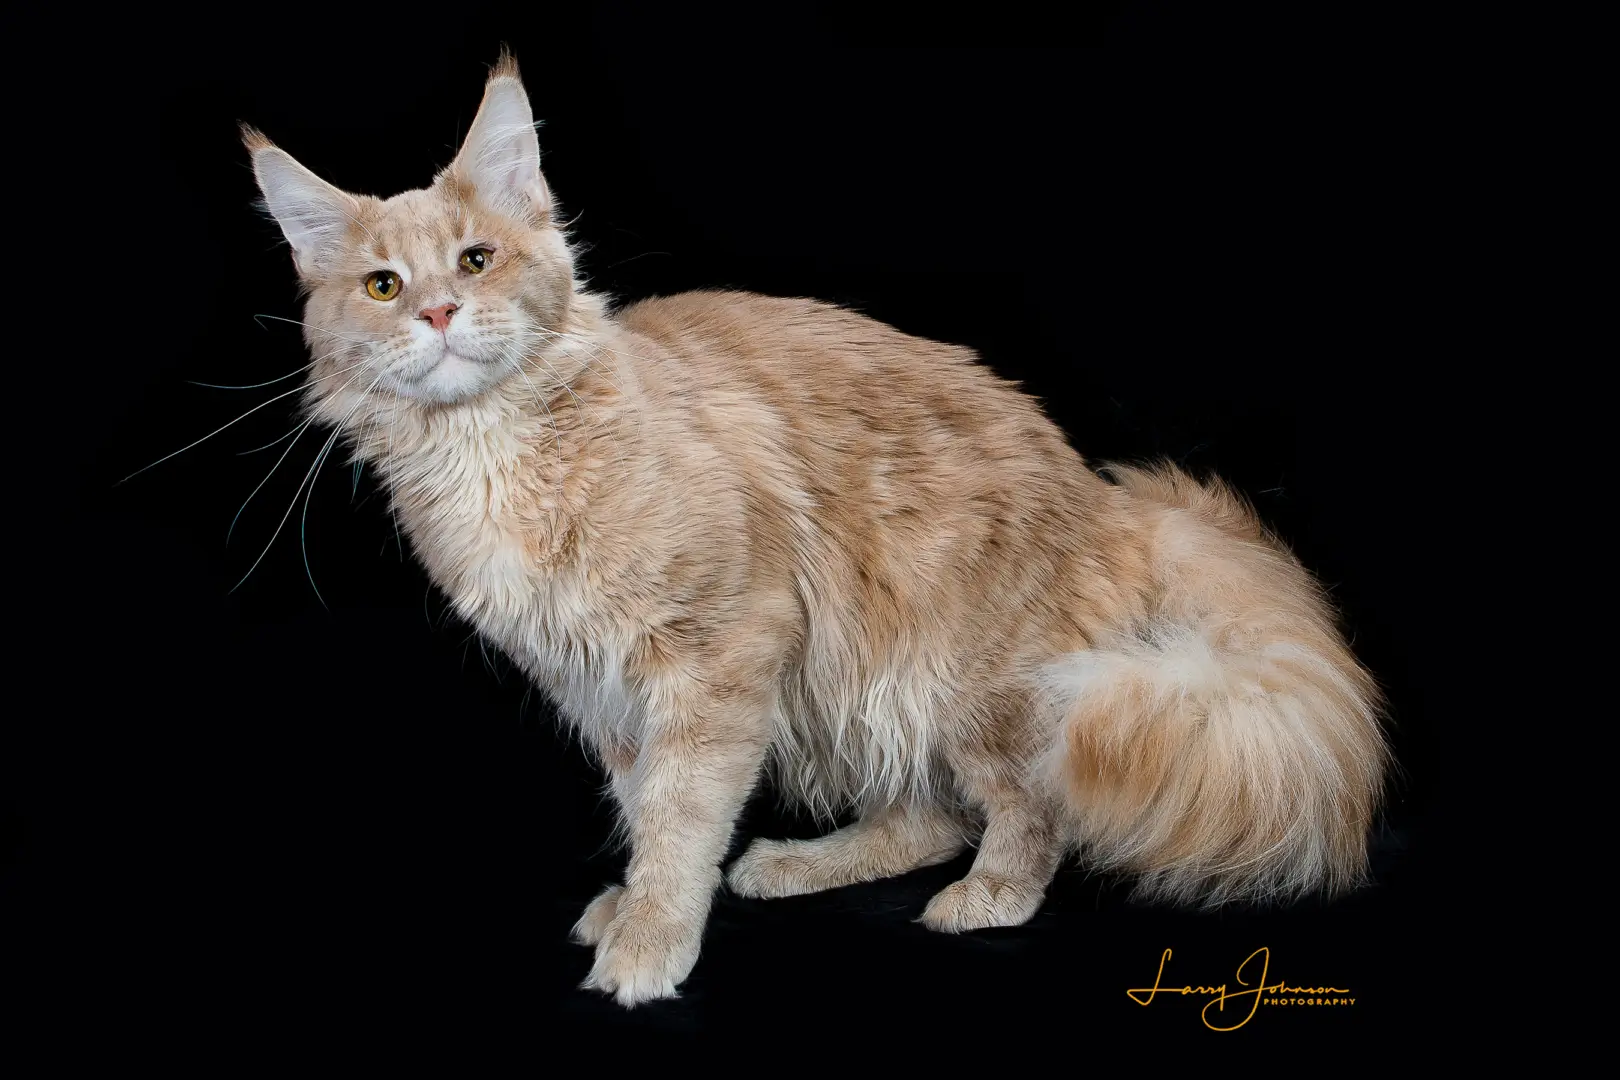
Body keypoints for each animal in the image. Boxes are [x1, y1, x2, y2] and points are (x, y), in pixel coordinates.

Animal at [243, 55, 1393, 1010]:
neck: (495, 454)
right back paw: (790, 866)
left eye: (476, 260)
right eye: (383, 285)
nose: (436, 314)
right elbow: (644, 806)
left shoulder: (717, 655)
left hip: (973, 682)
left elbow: (682, 816)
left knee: (1027, 811)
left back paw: (981, 902)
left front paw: (651, 942)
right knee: (931, 813)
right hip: (867, 694)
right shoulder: (599, 688)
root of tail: (1112, 502)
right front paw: (634, 907)